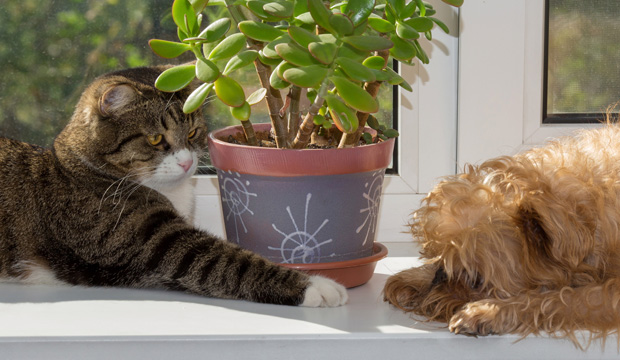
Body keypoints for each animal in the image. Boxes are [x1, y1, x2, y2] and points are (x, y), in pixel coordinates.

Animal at [0, 67, 346, 306]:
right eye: (155, 139)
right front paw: (315, 286)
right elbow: (226, 262)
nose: (187, 162)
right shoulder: (150, 239)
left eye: (192, 133)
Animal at [386, 124, 620, 346]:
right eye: (440, 261)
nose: (438, 279)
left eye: (476, 281)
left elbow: (565, 297)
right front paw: (415, 278)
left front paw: (491, 311)